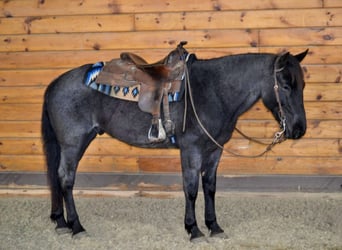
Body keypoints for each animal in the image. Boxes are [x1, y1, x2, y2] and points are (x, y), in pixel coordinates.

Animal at [41, 42, 308, 241]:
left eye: (303, 85)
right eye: (285, 85)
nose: (299, 129)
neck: (213, 91)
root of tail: (55, 83)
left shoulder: (214, 151)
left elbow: (209, 187)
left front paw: (214, 226)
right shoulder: (191, 150)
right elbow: (190, 188)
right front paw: (194, 229)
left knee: (58, 177)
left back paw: (61, 222)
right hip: (73, 143)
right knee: (66, 178)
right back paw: (76, 226)